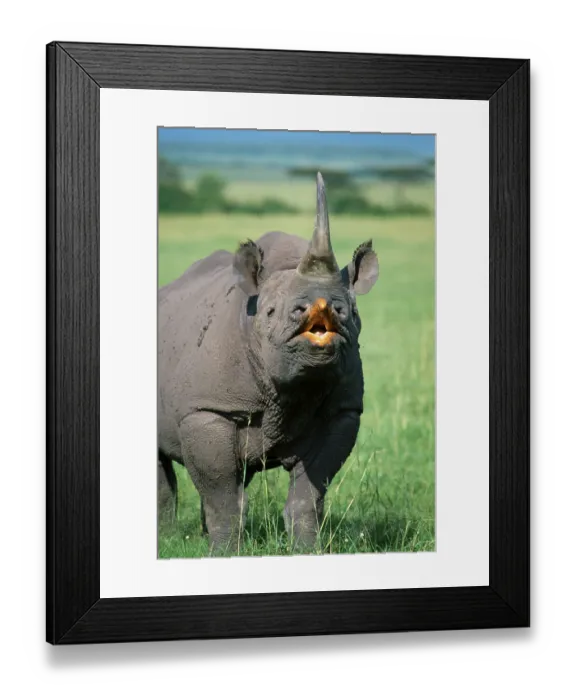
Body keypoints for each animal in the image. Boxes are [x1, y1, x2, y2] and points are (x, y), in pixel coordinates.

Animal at [158, 173, 379, 551]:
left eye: (350, 313)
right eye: (272, 311)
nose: (323, 308)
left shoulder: (342, 411)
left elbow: (309, 493)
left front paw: (307, 551)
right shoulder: (207, 408)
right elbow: (220, 492)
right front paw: (223, 555)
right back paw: (167, 539)